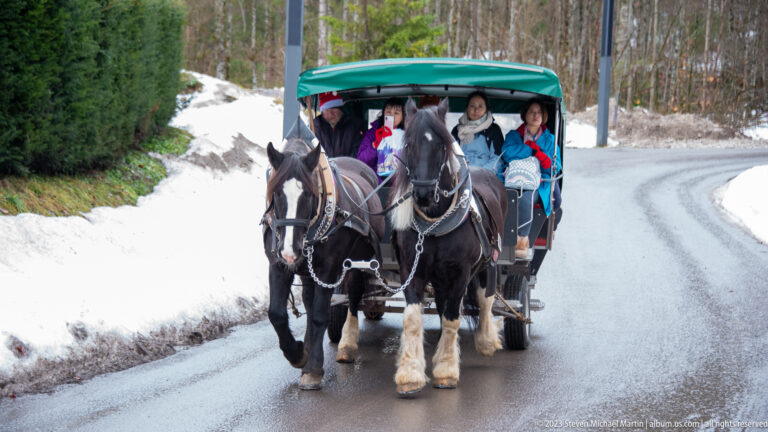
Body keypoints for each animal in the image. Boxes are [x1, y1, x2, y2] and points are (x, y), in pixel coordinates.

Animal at [262, 131, 385, 390]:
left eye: (309, 194)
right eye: (276, 193)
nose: (290, 251)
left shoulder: (329, 268)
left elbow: (320, 315)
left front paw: (313, 369)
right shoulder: (277, 264)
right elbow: (277, 314)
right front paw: (298, 353)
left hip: (357, 260)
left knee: (354, 294)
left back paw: (347, 343)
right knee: (310, 299)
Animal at [389, 98, 508, 394]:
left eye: (442, 146)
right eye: (409, 144)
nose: (422, 193)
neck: (433, 226)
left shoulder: (460, 273)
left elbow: (453, 317)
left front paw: (445, 370)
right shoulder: (412, 269)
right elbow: (413, 318)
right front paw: (411, 373)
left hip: (488, 264)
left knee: (485, 298)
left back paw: (486, 340)